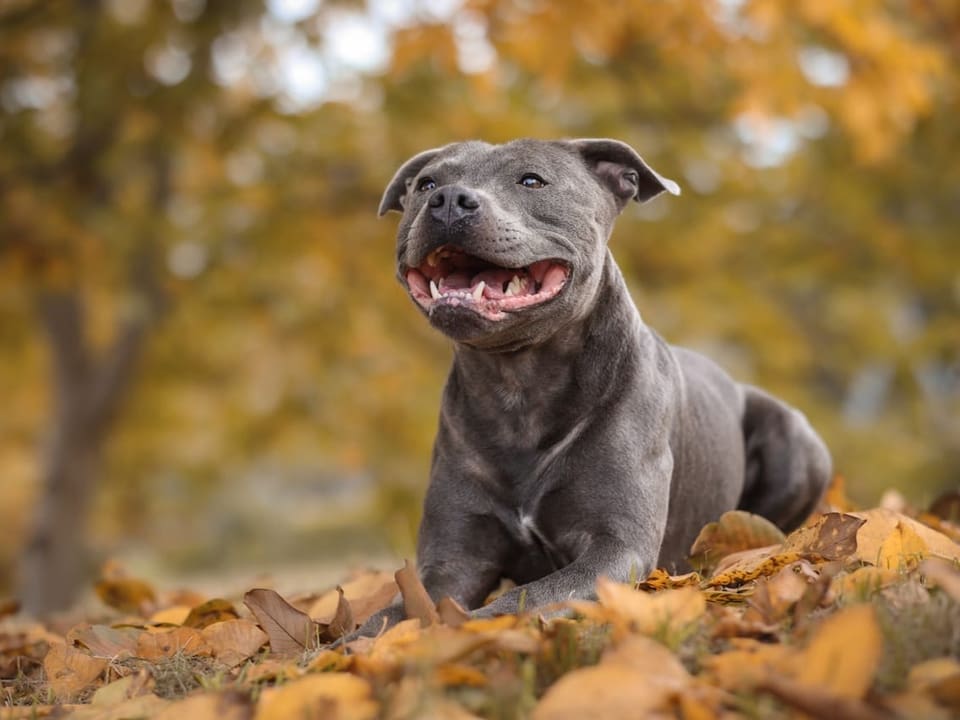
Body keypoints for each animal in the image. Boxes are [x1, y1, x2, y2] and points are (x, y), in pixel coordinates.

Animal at [364, 138, 828, 628]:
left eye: (532, 180)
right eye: (425, 184)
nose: (449, 199)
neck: (518, 388)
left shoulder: (615, 549)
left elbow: (518, 602)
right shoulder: (450, 563)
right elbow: (380, 621)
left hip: (794, 441)